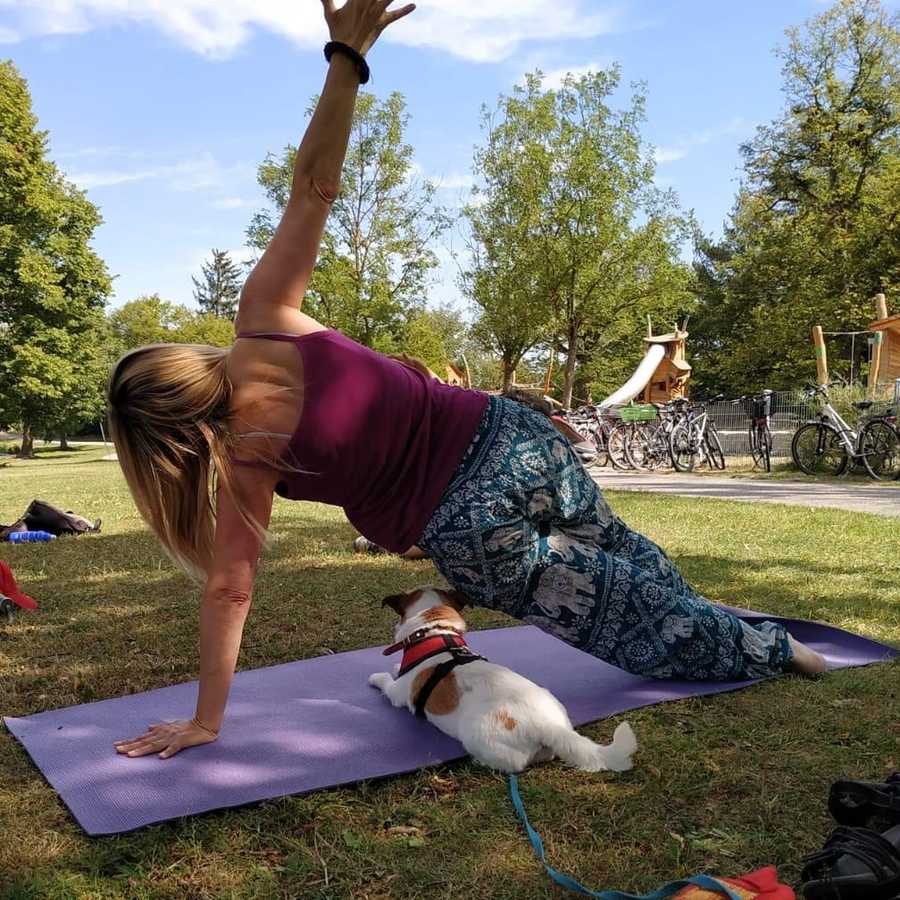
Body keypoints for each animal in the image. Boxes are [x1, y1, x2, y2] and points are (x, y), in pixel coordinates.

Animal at [368, 588, 640, 768]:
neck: (435, 632)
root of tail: (548, 725)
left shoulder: (398, 694)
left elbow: (387, 683)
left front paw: (377, 676)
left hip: (479, 737)